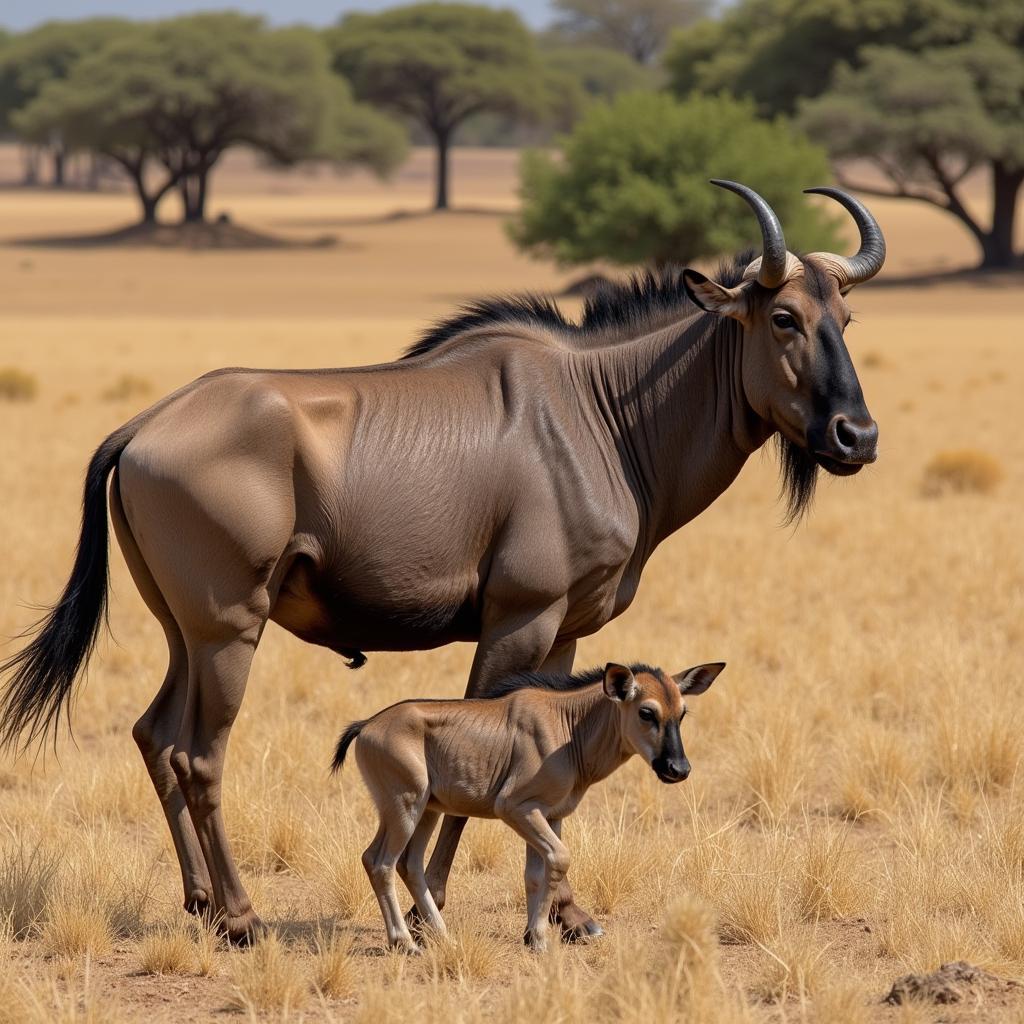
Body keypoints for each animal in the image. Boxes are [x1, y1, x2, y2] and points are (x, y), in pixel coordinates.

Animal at [331, 659, 724, 954]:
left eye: (681, 713)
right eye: (646, 712)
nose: (678, 769)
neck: (569, 725)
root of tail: (367, 727)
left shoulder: (550, 815)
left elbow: (538, 873)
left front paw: (533, 937)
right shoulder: (517, 809)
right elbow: (559, 860)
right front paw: (540, 938)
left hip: (425, 810)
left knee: (407, 865)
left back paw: (443, 937)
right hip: (405, 808)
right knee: (381, 862)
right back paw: (404, 942)